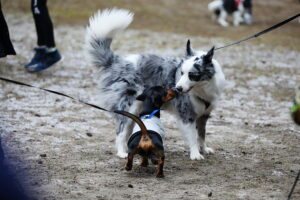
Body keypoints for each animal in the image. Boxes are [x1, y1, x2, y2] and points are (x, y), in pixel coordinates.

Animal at [86, 8, 225, 161]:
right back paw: (122, 152)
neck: (202, 88)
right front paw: (195, 154)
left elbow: (202, 134)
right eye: (181, 72)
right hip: (129, 107)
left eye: (192, 75)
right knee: (120, 131)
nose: (177, 88)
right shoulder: (187, 115)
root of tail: (116, 61)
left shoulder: (204, 115)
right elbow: (193, 136)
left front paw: (204, 149)